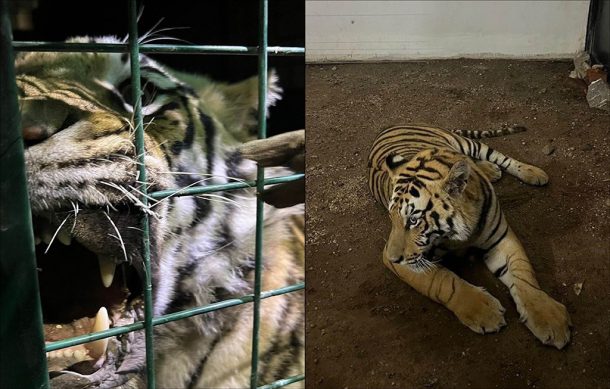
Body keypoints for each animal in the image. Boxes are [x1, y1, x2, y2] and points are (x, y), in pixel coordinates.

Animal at [366, 124, 568, 348]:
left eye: (413, 220)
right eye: (391, 217)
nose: (393, 258)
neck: (458, 234)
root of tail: (391, 126)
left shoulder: (501, 238)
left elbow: (523, 274)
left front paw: (549, 317)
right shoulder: (407, 260)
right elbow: (444, 281)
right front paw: (484, 311)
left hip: (468, 144)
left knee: (500, 157)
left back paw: (532, 172)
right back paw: (489, 170)